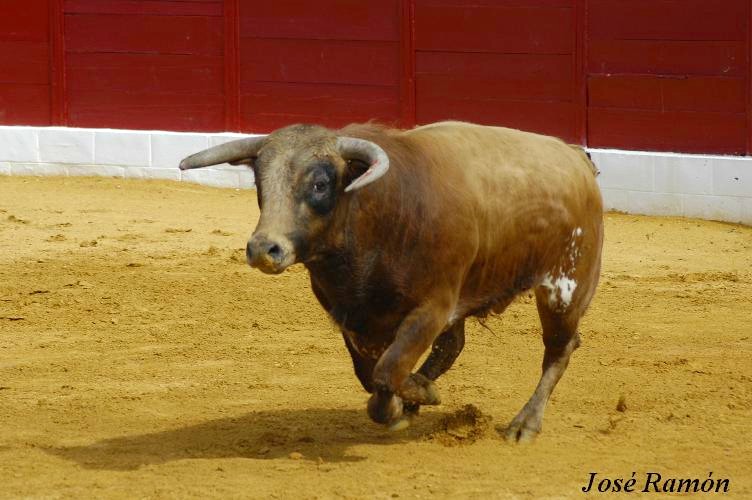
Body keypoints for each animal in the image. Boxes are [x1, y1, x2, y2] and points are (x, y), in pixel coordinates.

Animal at [181, 121, 604, 442]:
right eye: (260, 184)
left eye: (320, 184)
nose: (264, 248)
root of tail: (575, 158)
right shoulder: (351, 317)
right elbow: (371, 374)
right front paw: (409, 399)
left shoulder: (433, 307)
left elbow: (388, 370)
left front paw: (413, 397)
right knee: (453, 347)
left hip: (564, 287)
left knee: (559, 349)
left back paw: (524, 424)